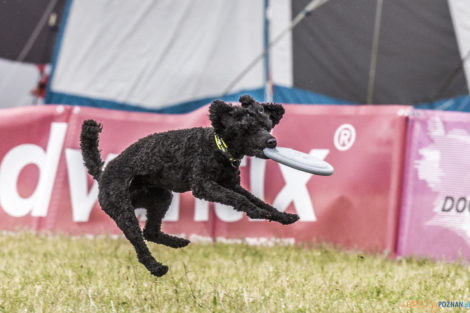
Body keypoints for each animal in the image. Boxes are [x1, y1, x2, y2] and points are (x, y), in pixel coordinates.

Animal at [79, 95, 300, 276]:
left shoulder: (231, 184)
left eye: (267, 125)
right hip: (121, 208)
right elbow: (240, 200)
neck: (217, 147)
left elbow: (259, 200)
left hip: (159, 197)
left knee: (151, 232)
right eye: (249, 128)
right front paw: (255, 212)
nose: (272, 141)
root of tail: (103, 173)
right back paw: (156, 267)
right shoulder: (203, 185)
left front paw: (282, 216)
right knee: (139, 241)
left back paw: (178, 242)